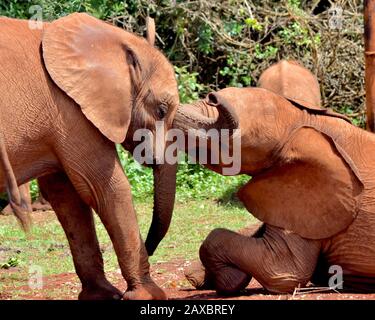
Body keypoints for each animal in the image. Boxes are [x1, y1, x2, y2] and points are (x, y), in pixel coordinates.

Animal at [0, 13, 238, 300]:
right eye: (161, 110)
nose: (214, 97)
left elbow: (68, 197)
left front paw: (102, 295)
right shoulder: (69, 111)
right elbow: (106, 187)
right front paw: (149, 295)